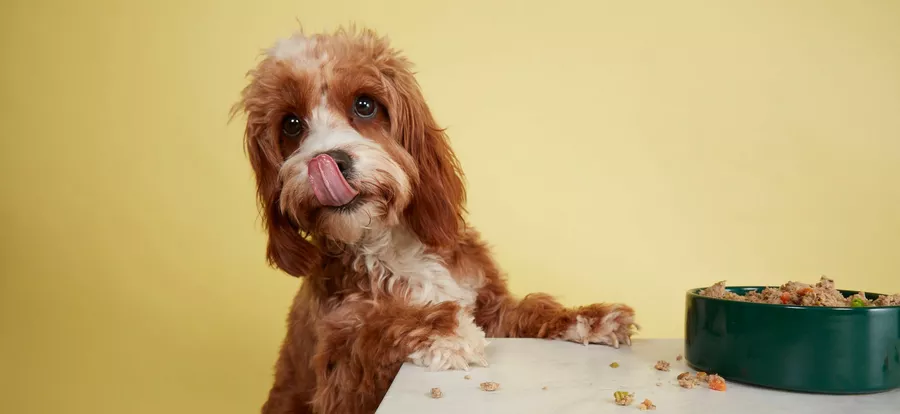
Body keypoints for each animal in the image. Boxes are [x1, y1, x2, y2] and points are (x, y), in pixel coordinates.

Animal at [232, 26, 640, 414]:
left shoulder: (488, 306)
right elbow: (369, 332)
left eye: (364, 105)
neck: (389, 242)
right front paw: (444, 328)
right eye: (291, 124)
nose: (331, 161)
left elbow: (528, 310)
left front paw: (589, 317)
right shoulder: (335, 380)